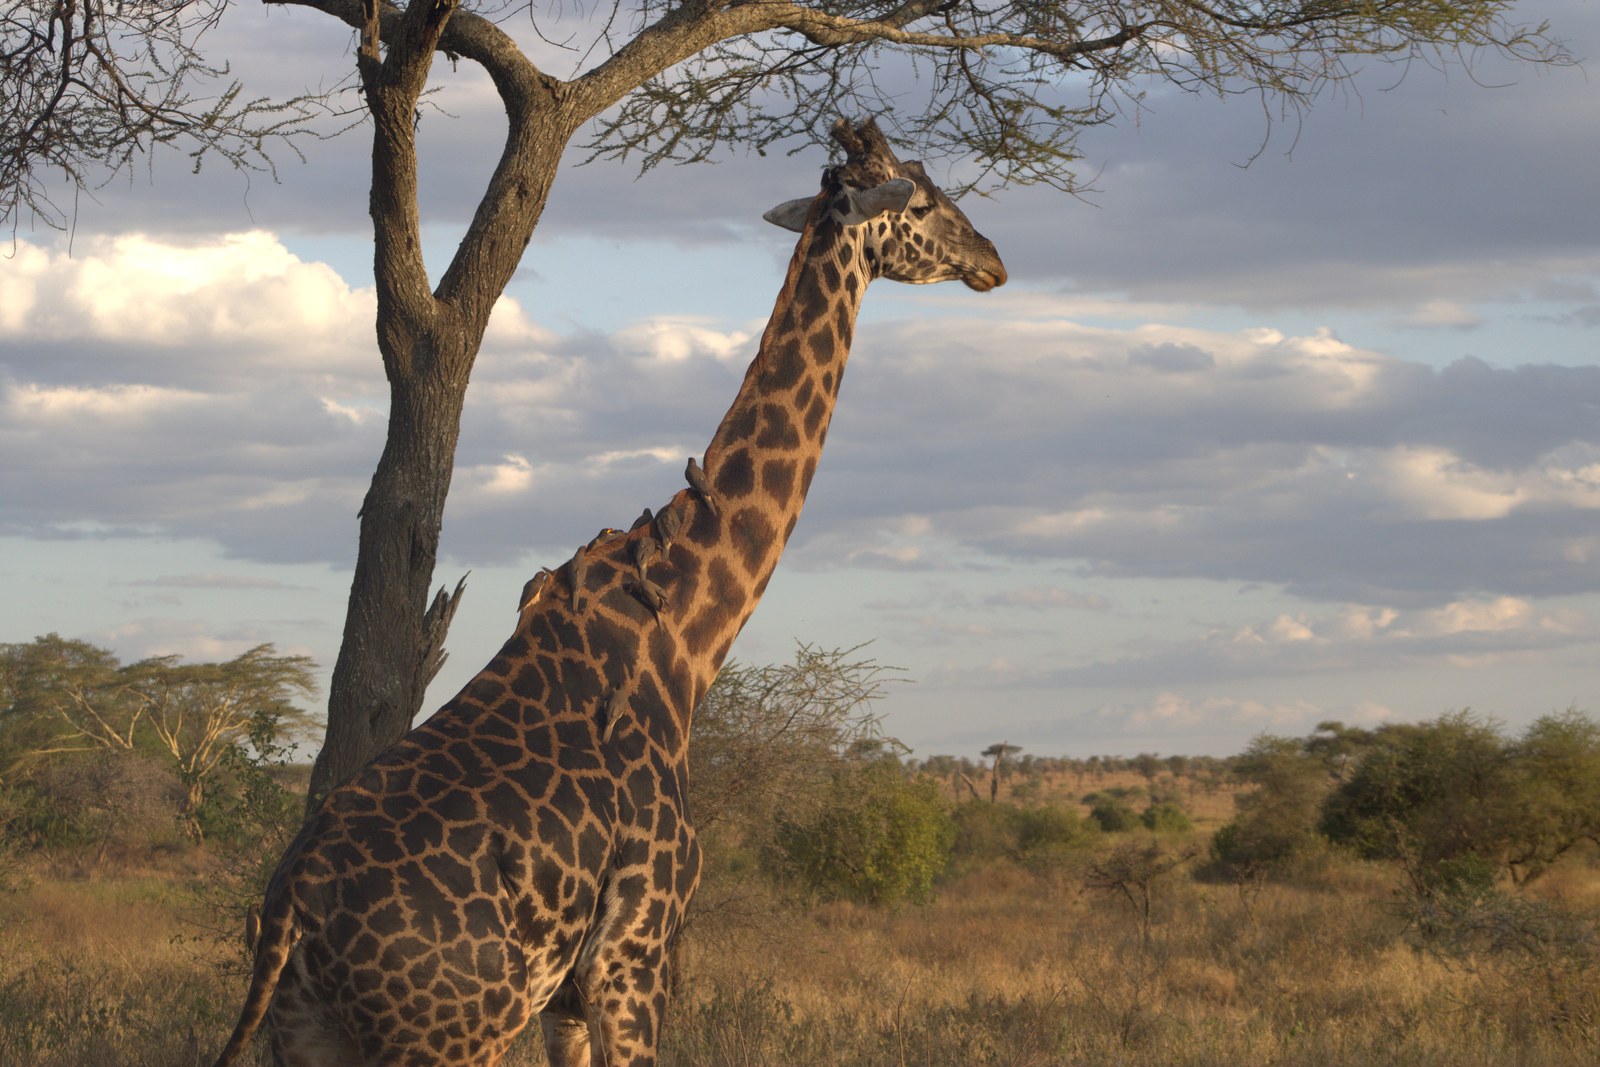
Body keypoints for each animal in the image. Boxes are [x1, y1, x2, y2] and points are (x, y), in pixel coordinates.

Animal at [211, 115, 1005, 1067]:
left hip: (311, 1037)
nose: (993, 259)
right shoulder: (638, 952)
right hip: (452, 1035)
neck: (686, 634)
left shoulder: (567, 994)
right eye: (920, 201)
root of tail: (289, 915)